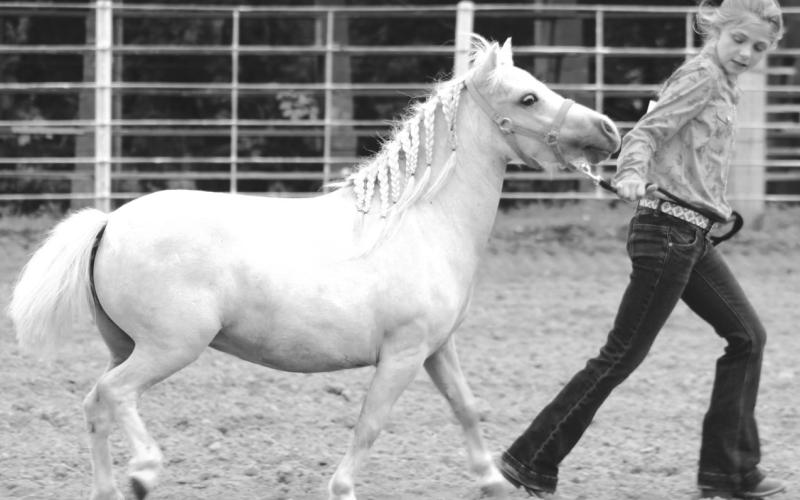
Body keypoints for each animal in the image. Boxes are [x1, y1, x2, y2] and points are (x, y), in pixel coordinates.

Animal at [9, 36, 620, 500]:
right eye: (528, 97)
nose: (610, 131)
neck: (420, 221)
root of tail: (110, 223)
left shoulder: (436, 347)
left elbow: (466, 408)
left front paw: (493, 481)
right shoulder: (402, 354)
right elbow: (370, 424)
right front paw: (342, 487)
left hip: (127, 345)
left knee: (98, 403)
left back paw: (110, 488)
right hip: (169, 347)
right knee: (112, 395)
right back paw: (143, 472)